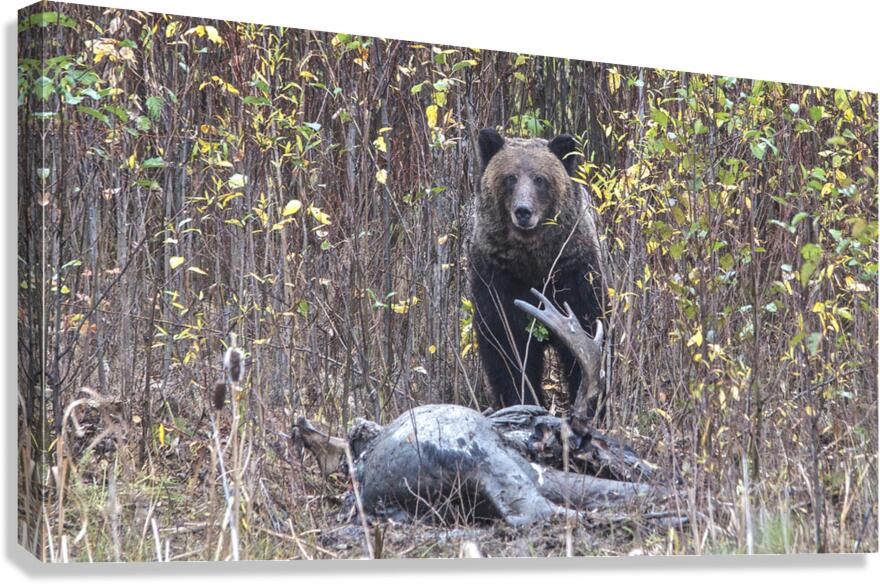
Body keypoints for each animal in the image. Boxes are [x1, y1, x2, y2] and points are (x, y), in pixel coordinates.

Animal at [468, 128, 610, 417]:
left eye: (540, 179)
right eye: (510, 177)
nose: (523, 211)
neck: (534, 266)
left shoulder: (576, 276)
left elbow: (588, 337)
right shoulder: (495, 281)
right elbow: (506, 352)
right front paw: (521, 399)